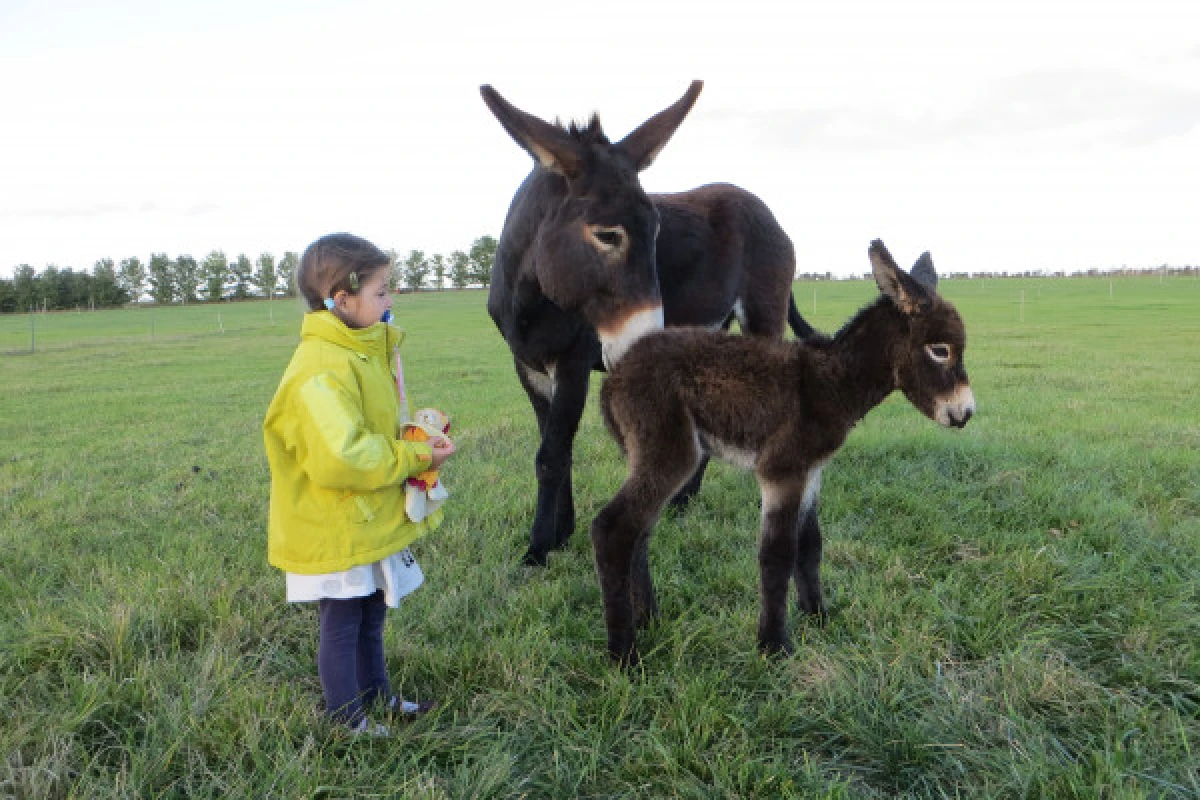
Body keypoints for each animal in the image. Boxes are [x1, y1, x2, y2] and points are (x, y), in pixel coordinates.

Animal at [590, 241, 974, 666]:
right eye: (939, 350)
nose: (965, 414)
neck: (828, 383)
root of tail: (615, 376)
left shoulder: (812, 471)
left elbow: (810, 546)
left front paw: (819, 617)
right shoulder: (782, 470)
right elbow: (777, 554)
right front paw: (774, 646)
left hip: (649, 456)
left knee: (639, 531)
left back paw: (649, 619)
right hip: (671, 452)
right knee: (613, 528)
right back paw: (625, 654)